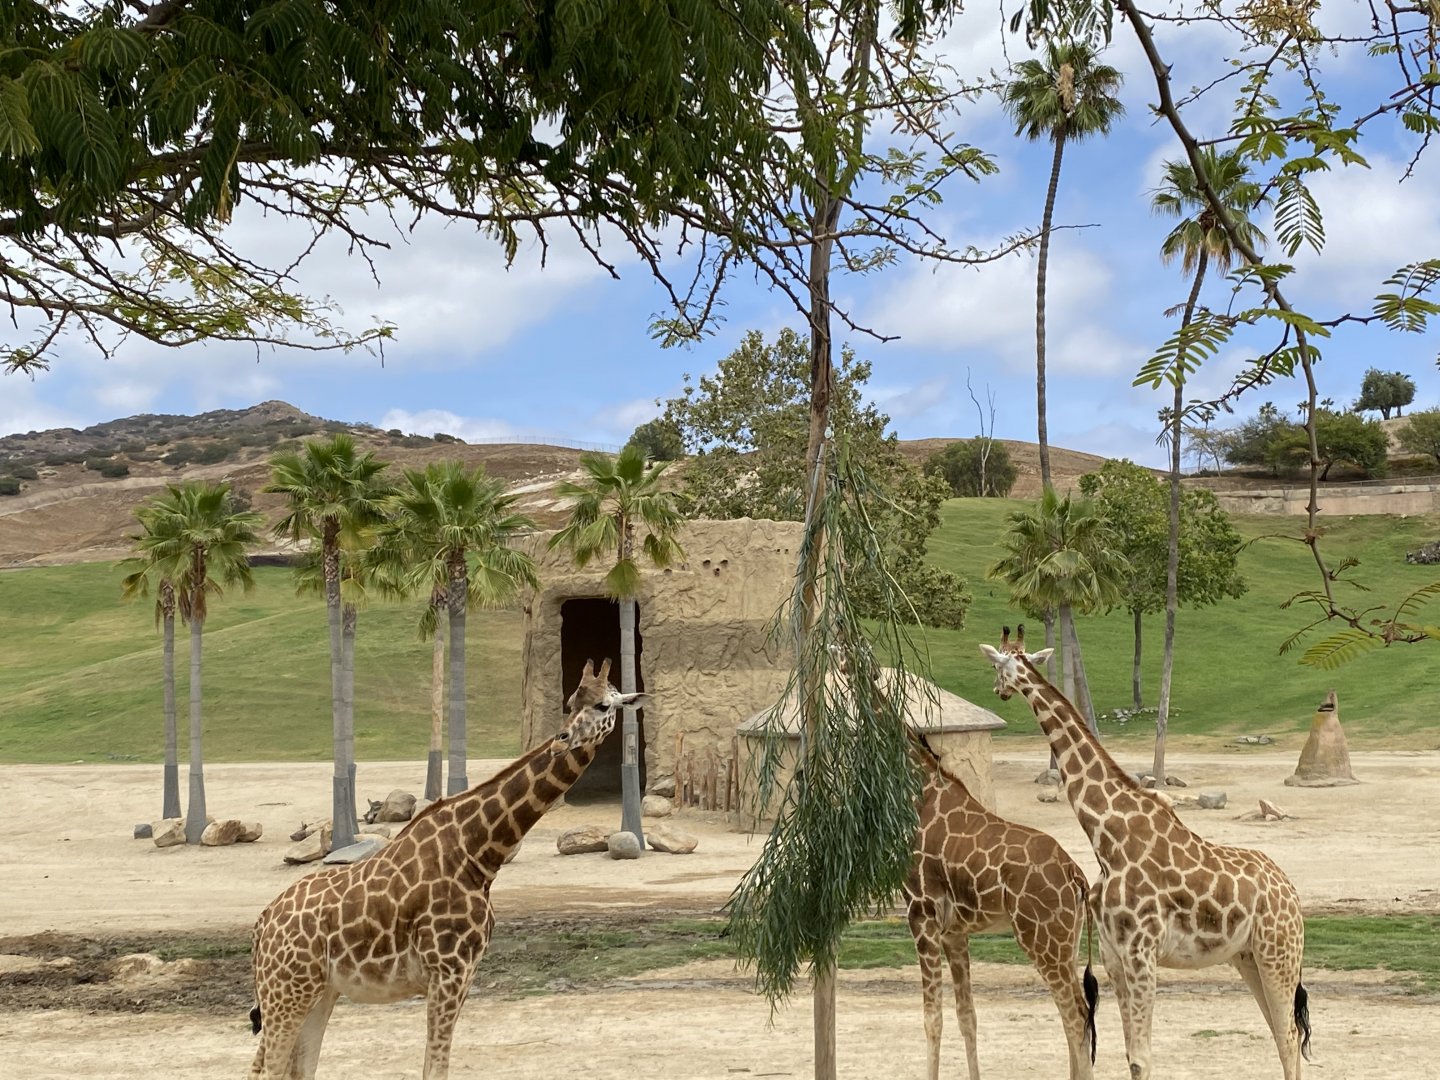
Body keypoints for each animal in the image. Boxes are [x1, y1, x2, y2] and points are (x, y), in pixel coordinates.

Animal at [247, 658, 640, 1080]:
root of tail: (263, 922)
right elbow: (435, 1068)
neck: (479, 854)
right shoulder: (447, 971)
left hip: (316, 990)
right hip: (287, 990)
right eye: (570, 703)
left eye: (603, 705)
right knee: (270, 1069)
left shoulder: (463, 975)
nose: (563, 739)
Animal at [904, 733, 1098, 1080]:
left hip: (1042, 941)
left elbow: (932, 1019)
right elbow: (967, 1015)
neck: (921, 797)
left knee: (1076, 1016)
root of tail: (1075, 874)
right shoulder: (954, 932)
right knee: (1075, 1016)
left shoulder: (920, 914)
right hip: (1068, 941)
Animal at [979, 626, 1311, 1080]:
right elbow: (1130, 1055)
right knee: (1282, 1035)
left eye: (999, 665)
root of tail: (1291, 892)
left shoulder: (1142, 951)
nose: (998, 691)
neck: (1107, 839)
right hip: (1248, 957)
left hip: (1279, 951)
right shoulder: (1114, 956)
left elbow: (1141, 1057)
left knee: (1289, 1036)